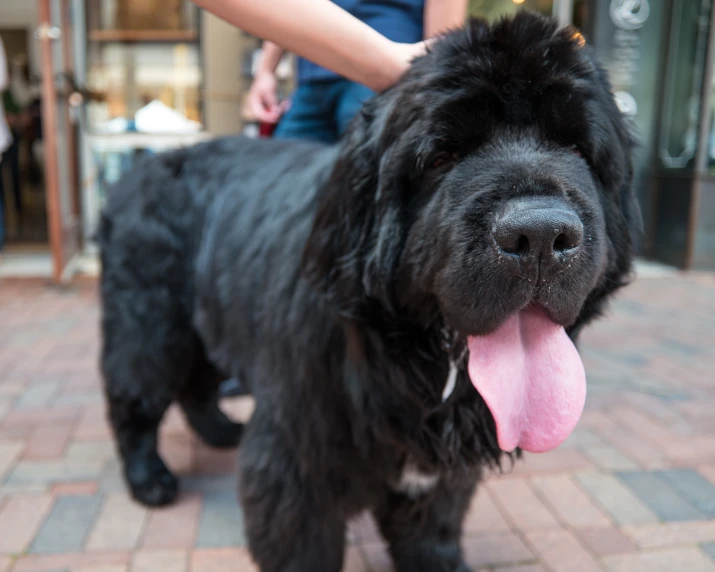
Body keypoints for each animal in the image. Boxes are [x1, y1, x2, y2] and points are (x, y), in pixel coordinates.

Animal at [98, 12, 640, 572]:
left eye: (576, 149)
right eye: (442, 156)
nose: (539, 235)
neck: (413, 369)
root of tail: (137, 171)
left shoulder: (436, 483)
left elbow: (432, 536)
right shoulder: (297, 470)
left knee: (197, 383)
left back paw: (221, 430)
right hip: (150, 324)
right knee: (134, 397)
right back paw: (149, 479)